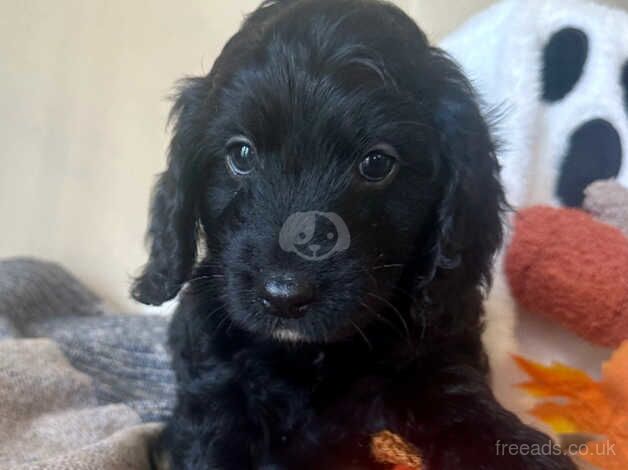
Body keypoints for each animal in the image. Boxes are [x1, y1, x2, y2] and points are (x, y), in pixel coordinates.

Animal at [134, 1, 580, 468]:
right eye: (241, 154)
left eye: (377, 163)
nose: (284, 295)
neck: (308, 355)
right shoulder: (213, 392)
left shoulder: (435, 354)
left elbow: (462, 403)